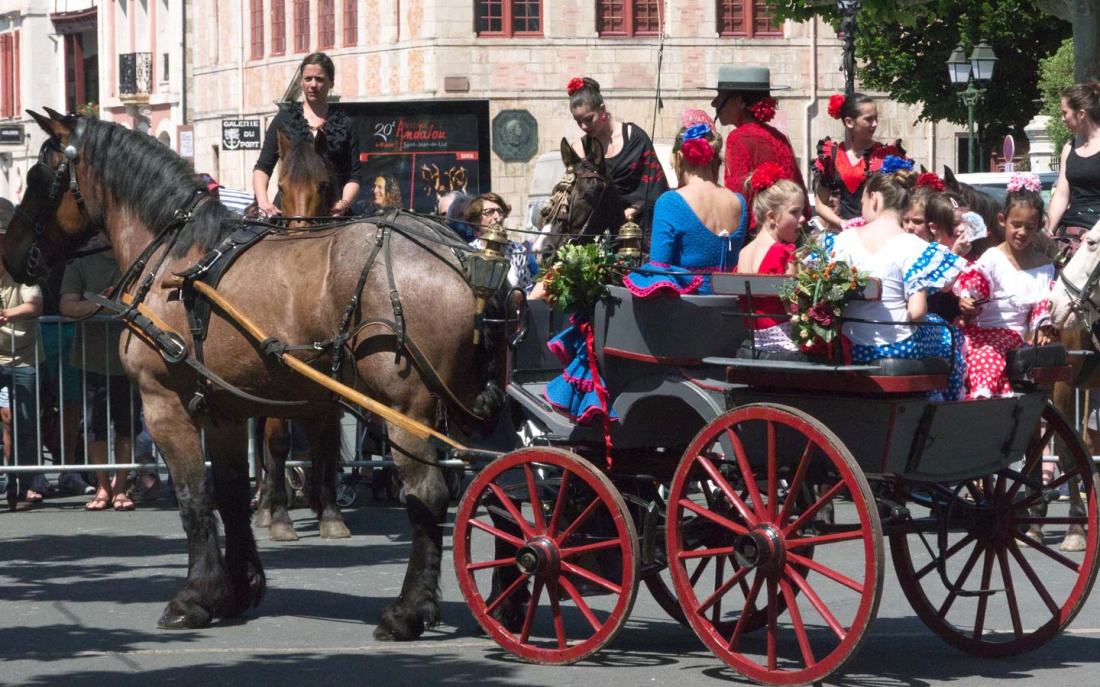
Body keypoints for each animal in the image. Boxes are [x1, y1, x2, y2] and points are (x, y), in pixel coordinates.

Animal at [11, 108, 503, 637]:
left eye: (39, 178)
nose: (11, 252)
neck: (176, 255)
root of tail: (459, 252)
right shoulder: (224, 409)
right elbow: (229, 495)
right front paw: (239, 587)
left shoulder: (164, 404)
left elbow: (193, 498)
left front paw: (195, 595)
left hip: (405, 411)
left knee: (428, 496)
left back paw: (409, 609)